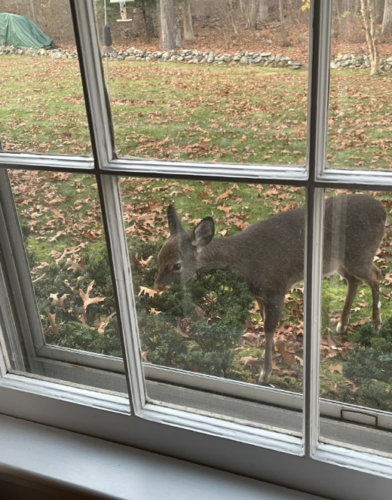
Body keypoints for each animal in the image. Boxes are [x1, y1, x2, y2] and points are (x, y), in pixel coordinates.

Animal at [156, 193, 386, 384]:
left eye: (177, 265)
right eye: (159, 257)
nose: (157, 284)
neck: (245, 263)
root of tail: (383, 212)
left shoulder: (276, 289)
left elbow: (268, 328)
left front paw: (265, 374)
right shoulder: (260, 295)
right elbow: (264, 321)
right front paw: (265, 356)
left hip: (360, 254)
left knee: (376, 275)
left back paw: (376, 325)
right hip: (340, 262)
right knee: (354, 281)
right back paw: (342, 325)